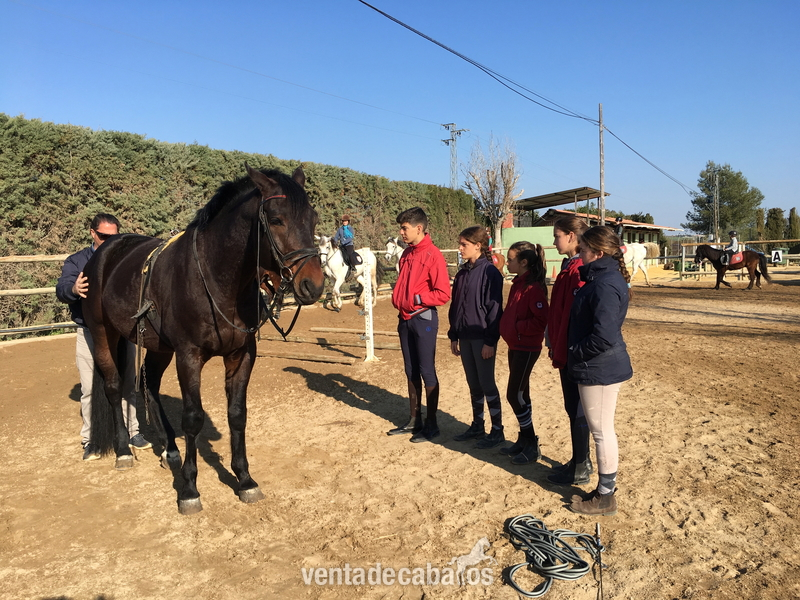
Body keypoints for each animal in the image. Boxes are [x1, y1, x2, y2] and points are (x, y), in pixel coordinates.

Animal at [83, 164, 324, 515]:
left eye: (313, 219)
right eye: (277, 219)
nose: (313, 285)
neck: (217, 278)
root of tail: (105, 250)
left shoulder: (241, 354)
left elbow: (237, 414)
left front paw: (245, 480)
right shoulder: (189, 356)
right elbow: (193, 418)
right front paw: (189, 489)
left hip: (158, 347)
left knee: (150, 386)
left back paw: (170, 449)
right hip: (103, 333)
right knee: (114, 387)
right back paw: (124, 451)